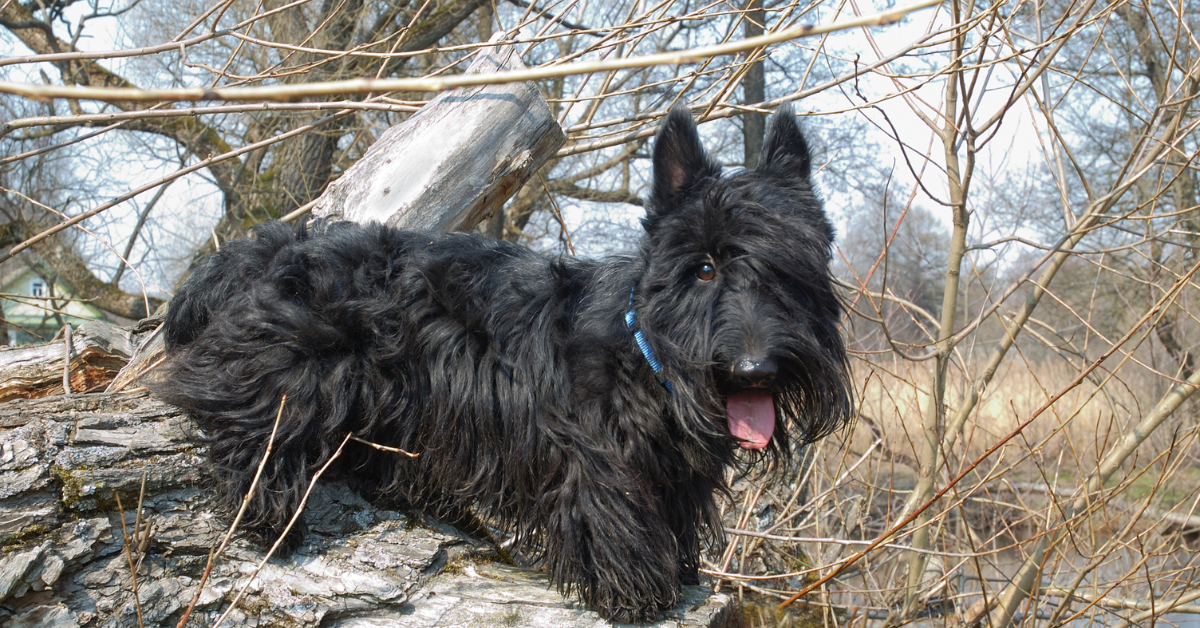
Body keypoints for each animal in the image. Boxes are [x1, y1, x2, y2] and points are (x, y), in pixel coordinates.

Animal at [157, 104, 854, 624]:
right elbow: (616, 518)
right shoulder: (596, 457)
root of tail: (271, 246)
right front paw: (636, 594)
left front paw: (678, 572)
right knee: (242, 408)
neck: (644, 350)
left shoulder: (676, 476)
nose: (754, 369)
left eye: (792, 266)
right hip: (297, 364)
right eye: (704, 267)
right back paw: (263, 502)